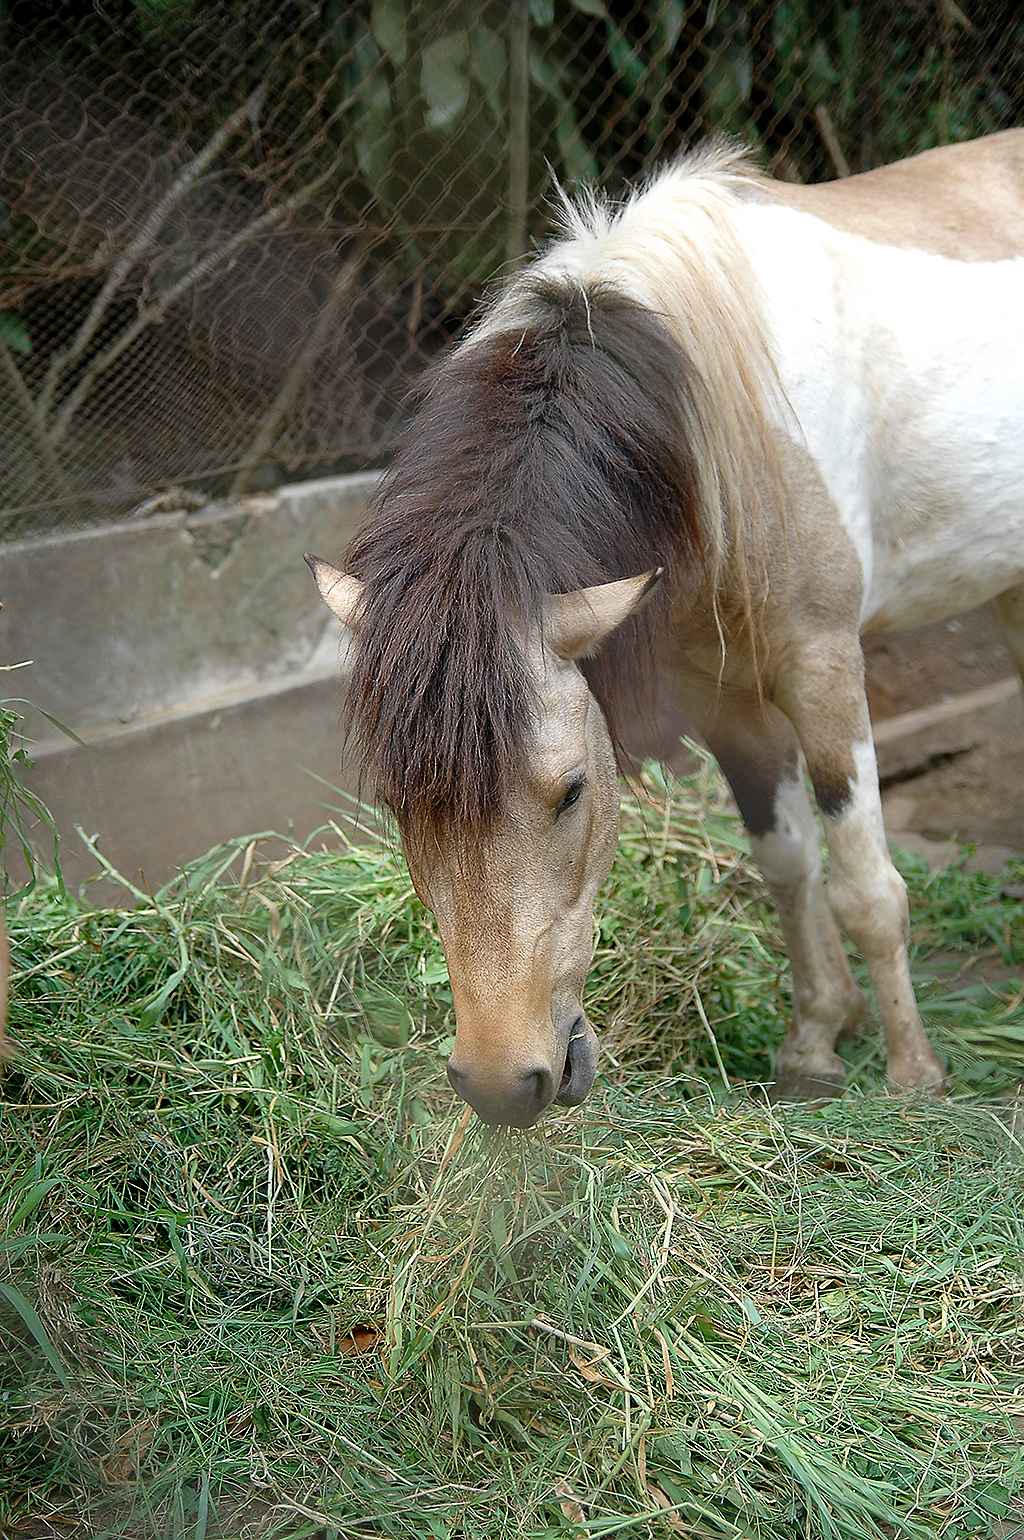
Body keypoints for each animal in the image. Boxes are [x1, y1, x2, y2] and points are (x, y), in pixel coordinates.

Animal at [307, 132, 1022, 1133]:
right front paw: (814, 1046)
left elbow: (867, 888)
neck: (710, 427)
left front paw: (915, 1082)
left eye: (571, 791)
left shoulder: (823, 665)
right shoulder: (717, 693)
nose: (500, 1084)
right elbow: (787, 860)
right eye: (398, 805)